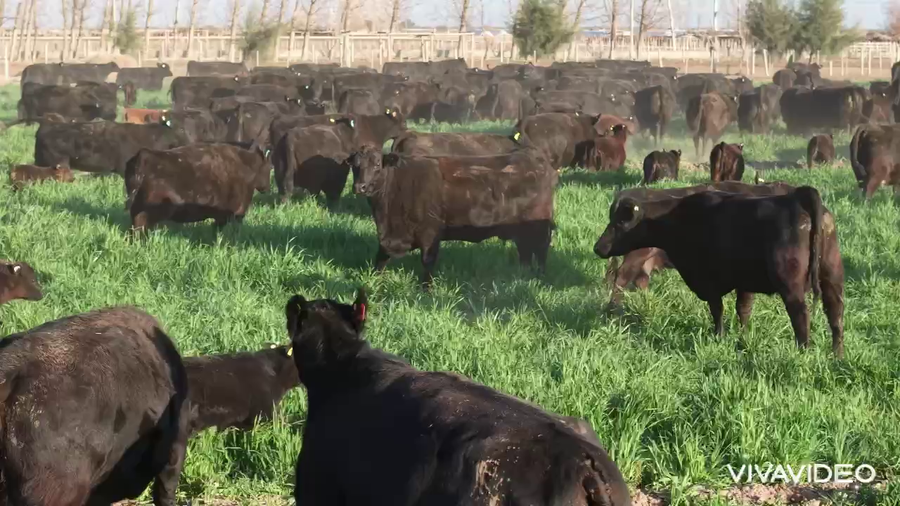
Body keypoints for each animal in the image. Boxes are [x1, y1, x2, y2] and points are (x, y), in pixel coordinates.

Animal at [350, 144, 557, 286]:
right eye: (355, 166)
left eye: (377, 164)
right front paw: (373, 281)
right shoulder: (389, 236)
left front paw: (426, 289)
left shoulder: (430, 233)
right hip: (521, 231)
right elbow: (380, 258)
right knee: (525, 252)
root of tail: (535, 156)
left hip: (538, 227)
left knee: (540, 251)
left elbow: (427, 261)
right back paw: (523, 276)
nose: (360, 187)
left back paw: (539, 277)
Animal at [593, 185, 844, 358]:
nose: (598, 247)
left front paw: (719, 337)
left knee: (801, 316)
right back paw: (837, 355)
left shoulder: (708, 281)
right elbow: (743, 311)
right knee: (835, 314)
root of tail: (797, 197)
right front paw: (743, 339)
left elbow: (718, 310)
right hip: (831, 276)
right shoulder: (744, 282)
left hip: (791, 285)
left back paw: (803, 352)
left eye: (620, 222)